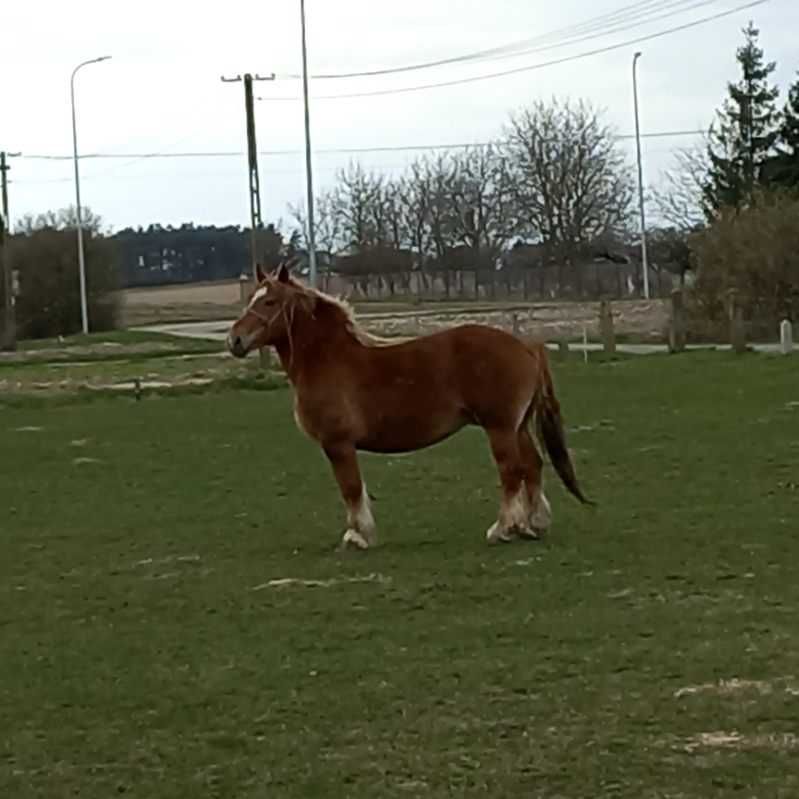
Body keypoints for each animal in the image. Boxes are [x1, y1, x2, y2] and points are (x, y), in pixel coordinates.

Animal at [228, 262, 592, 552]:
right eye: (251, 299)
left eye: (270, 301)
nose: (234, 340)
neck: (328, 358)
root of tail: (526, 345)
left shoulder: (339, 444)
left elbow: (351, 488)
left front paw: (358, 536)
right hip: (516, 427)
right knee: (532, 465)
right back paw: (532, 525)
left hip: (500, 428)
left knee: (511, 471)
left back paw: (503, 528)